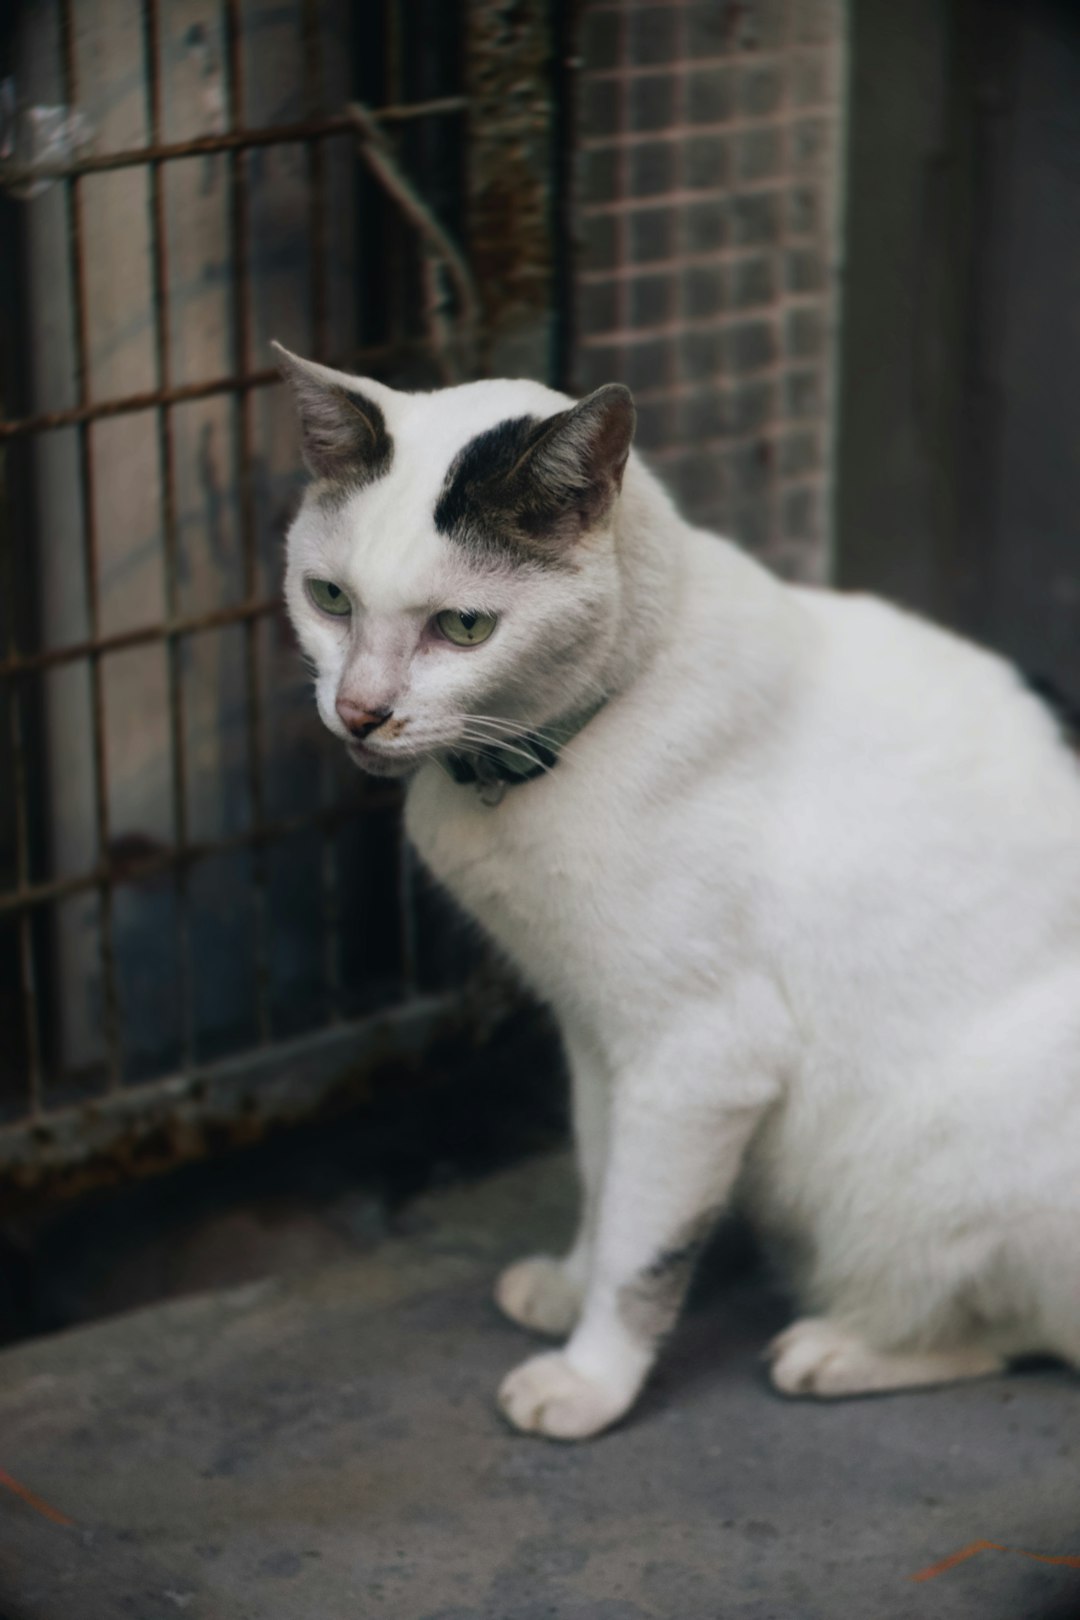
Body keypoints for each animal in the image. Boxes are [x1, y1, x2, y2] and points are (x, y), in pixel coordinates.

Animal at [278, 345, 1080, 1445]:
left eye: (464, 627)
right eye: (329, 599)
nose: (360, 712)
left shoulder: (700, 1058)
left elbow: (642, 1246)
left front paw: (590, 1379)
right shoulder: (597, 1031)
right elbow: (602, 1174)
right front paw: (569, 1287)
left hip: (950, 1160)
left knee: (1007, 1327)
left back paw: (838, 1349)